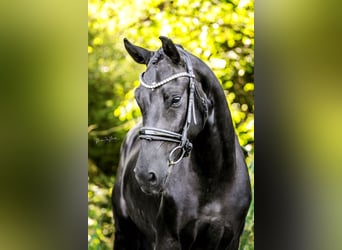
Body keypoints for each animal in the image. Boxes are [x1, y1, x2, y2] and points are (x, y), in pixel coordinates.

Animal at [112, 36, 251, 249]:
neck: (214, 179)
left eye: (176, 99)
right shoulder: (167, 240)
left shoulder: (231, 240)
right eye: (138, 99)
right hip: (124, 233)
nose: (145, 175)